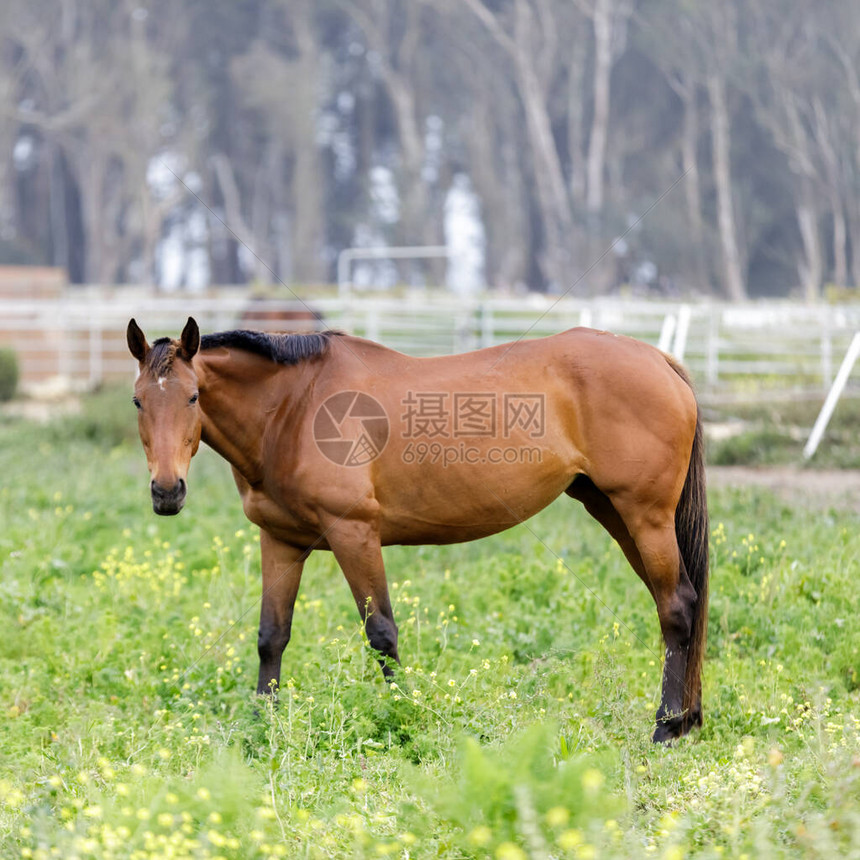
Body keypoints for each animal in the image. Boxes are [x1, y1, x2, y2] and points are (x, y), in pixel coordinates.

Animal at [126, 316, 704, 740]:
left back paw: (666, 727)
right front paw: (261, 726)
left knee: (675, 608)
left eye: (193, 397)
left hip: (645, 516)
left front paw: (403, 716)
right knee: (684, 604)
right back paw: (689, 720)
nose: (166, 491)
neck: (296, 406)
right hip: (614, 512)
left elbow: (381, 633)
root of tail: (659, 359)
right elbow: (272, 636)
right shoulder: (282, 541)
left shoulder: (354, 533)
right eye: (138, 401)